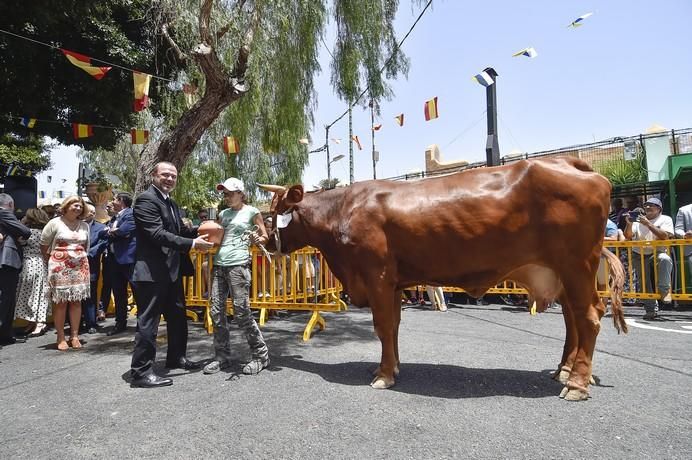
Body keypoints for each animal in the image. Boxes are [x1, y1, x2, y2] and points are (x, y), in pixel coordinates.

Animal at [260, 156, 628, 400]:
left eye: (273, 213)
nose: (261, 240)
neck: (344, 211)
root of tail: (567, 162)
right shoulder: (394, 282)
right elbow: (393, 326)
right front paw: (391, 368)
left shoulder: (377, 276)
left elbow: (382, 326)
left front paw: (383, 376)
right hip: (563, 272)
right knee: (573, 319)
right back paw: (563, 371)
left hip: (576, 265)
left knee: (589, 318)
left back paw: (576, 384)